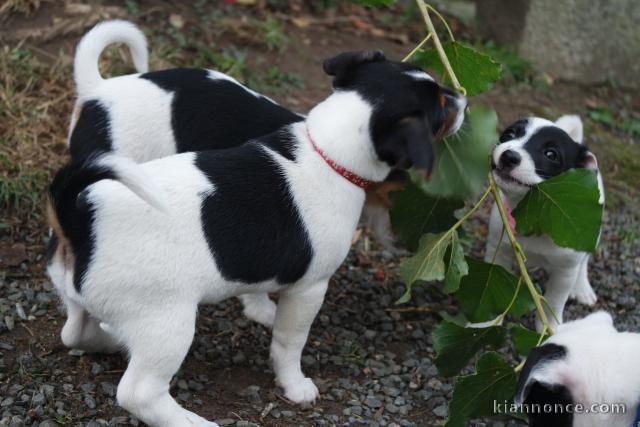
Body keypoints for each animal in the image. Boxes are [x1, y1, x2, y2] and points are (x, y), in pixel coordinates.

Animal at [46, 51, 464, 427]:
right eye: (441, 108)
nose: (462, 97)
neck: (326, 150)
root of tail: (78, 221)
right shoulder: (310, 289)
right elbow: (288, 342)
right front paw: (295, 386)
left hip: (89, 300)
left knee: (75, 331)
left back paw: (112, 341)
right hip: (167, 323)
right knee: (138, 393)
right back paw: (191, 421)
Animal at [488, 114, 604, 332]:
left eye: (551, 154)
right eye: (510, 134)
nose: (508, 156)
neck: (537, 215)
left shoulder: (565, 272)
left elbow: (555, 301)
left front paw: (552, 328)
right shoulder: (498, 252)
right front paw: (485, 323)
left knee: (584, 260)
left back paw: (582, 288)